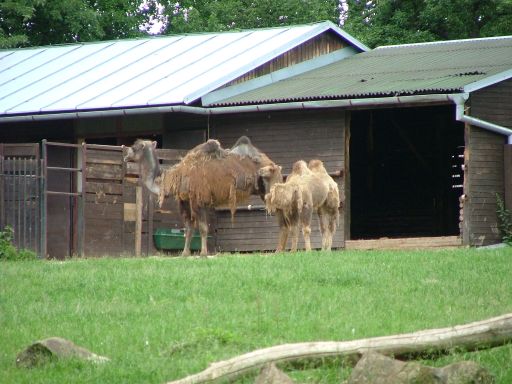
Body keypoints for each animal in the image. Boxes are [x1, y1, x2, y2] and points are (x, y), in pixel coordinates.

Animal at [125, 136, 282, 256]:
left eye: (134, 147)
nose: (125, 156)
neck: (177, 177)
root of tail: (274, 165)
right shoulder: (185, 202)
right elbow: (188, 229)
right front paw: (184, 253)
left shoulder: (199, 201)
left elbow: (203, 228)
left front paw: (203, 253)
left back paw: (279, 250)